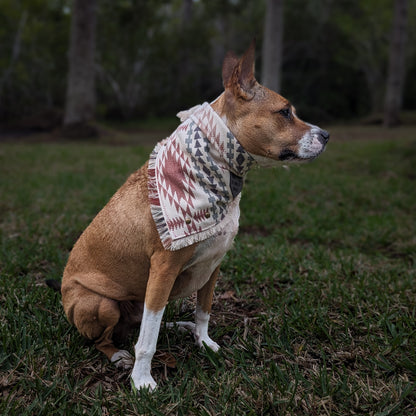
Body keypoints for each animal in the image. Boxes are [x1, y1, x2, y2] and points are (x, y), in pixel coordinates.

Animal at [61, 44, 328, 392]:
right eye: (284, 112)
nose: (327, 135)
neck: (218, 170)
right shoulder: (163, 270)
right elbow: (148, 340)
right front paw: (142, 380)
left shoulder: (213, 263)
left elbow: (203, 310)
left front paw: (203, 341)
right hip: (99, 303)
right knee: (107, 338)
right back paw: (119, 355)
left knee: (141, 322)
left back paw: (178, 326)